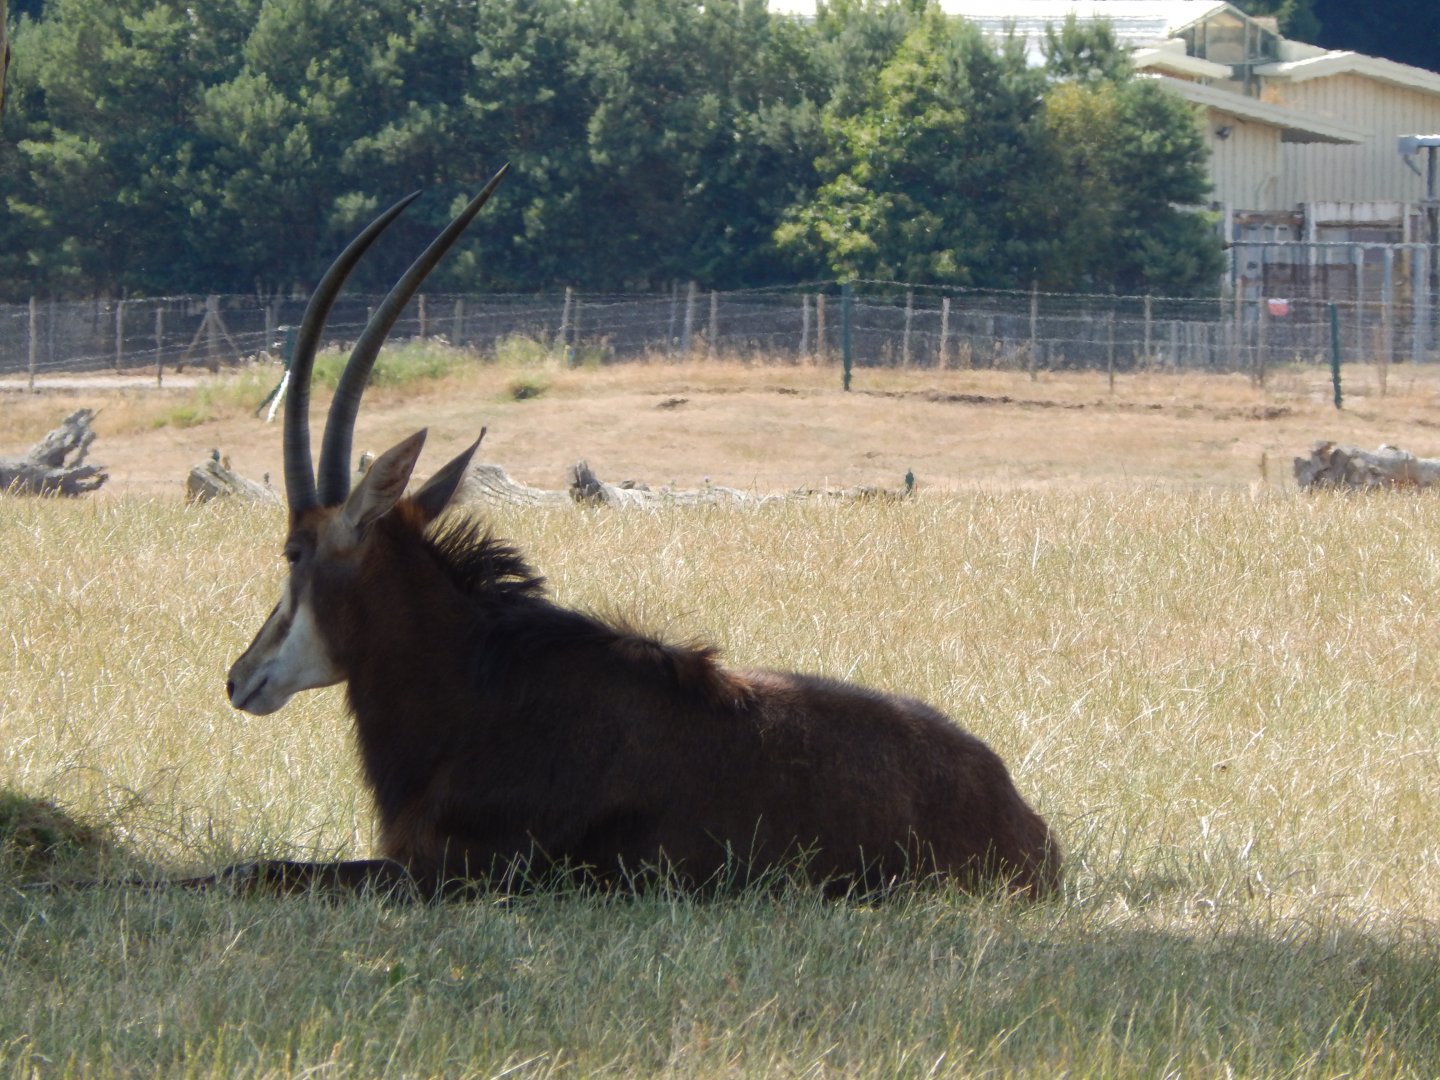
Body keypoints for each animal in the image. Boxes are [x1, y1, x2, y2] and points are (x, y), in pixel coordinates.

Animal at [217, 165, 1062, 900]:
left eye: (292, 552)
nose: (237, 676)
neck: (482, 690)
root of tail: (1028, 824)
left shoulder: (452, 877)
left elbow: (252, 868)